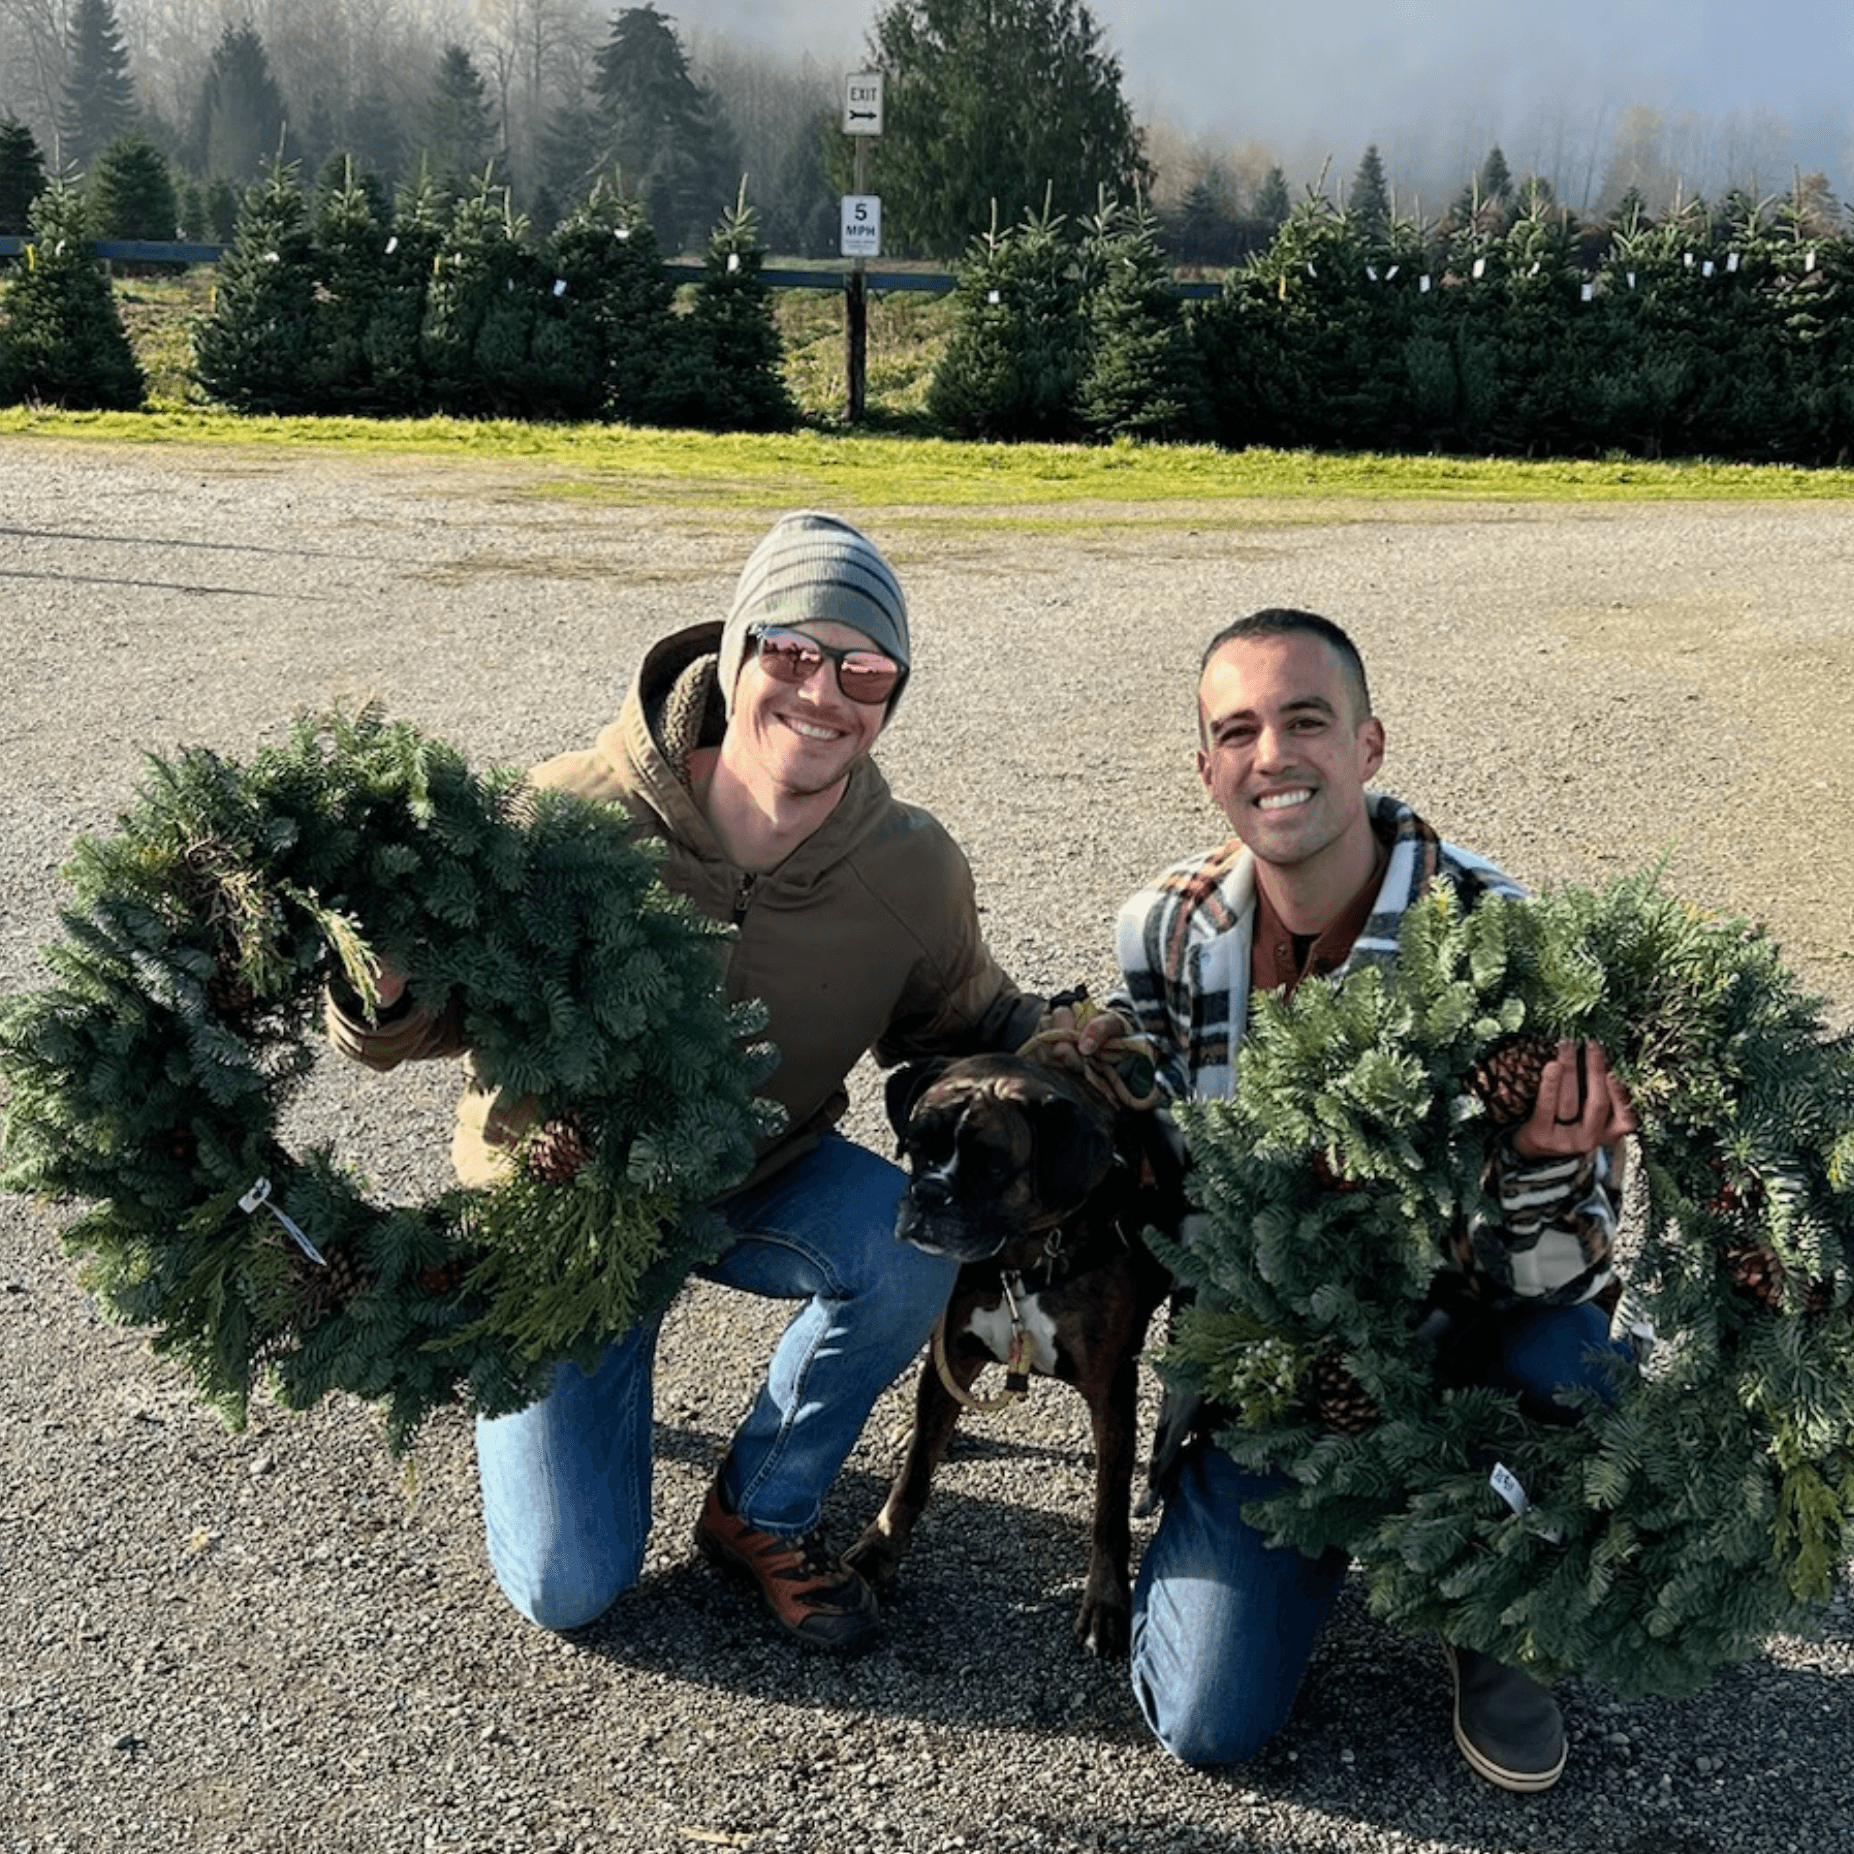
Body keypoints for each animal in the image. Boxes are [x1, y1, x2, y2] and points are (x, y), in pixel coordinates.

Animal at [845, 1053, 1171, 1661]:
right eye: (918, 1145)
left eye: (991, 1166)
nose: (929, 1193)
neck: (1021, 1261)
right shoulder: (952, 1355)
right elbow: (914, 1475)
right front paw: (879, 1550)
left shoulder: (1111, 1391)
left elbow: (1108, 1511)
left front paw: (1105, 1603)